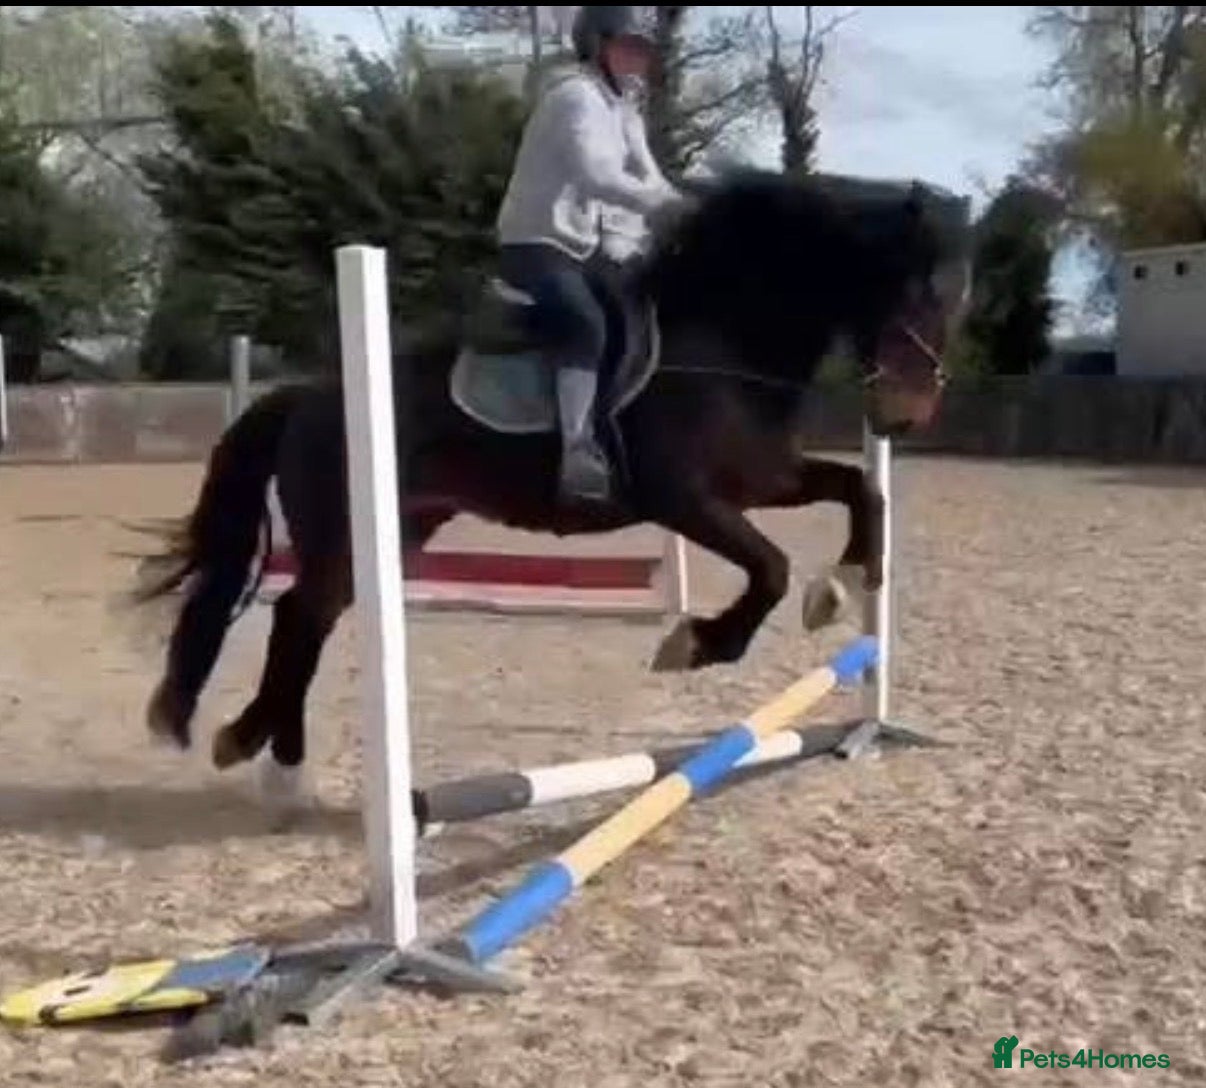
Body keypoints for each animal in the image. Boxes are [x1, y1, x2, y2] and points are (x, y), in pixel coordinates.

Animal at [132, 169, 969, 804]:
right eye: (917, 291)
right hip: (344, 531)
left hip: (397, 530)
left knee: (307, 619)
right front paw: (698, 643)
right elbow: (771, 567)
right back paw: (257, 749)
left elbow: (860, 492)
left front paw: (845, 584)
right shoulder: (688, 499)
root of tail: (308, 394)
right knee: (300, 617)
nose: (906, 414)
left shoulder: (763, 478)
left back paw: (271, 756)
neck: (724, 342)